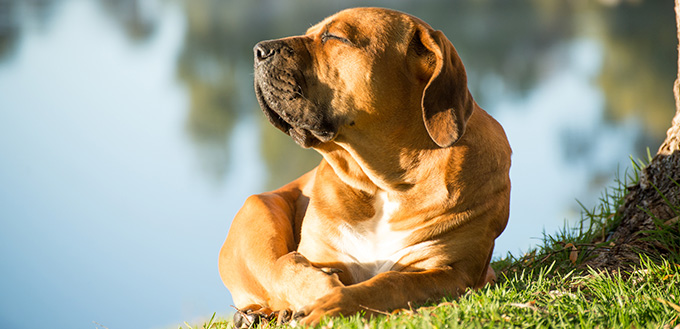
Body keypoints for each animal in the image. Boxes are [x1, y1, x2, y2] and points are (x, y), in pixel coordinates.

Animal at [218, 7, 510, 326]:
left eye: (335, 37)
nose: (259, 50)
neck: (382, 183)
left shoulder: (451, 271)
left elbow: (388, 284)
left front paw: (331, 303)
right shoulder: (318, 254)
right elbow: (288, 267)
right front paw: (319, 290)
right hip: (259, 209)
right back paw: (256, 314)